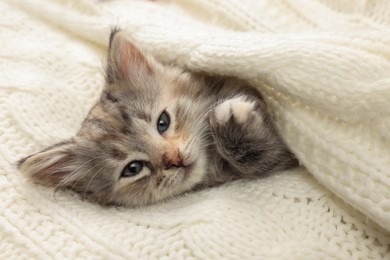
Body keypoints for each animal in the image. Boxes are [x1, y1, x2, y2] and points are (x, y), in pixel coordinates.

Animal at [16, 29, 298, 207]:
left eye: (163, 122)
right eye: (132, 169)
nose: (174, 159)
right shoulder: (281, 156)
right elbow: (259, 158)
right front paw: (231, 120)